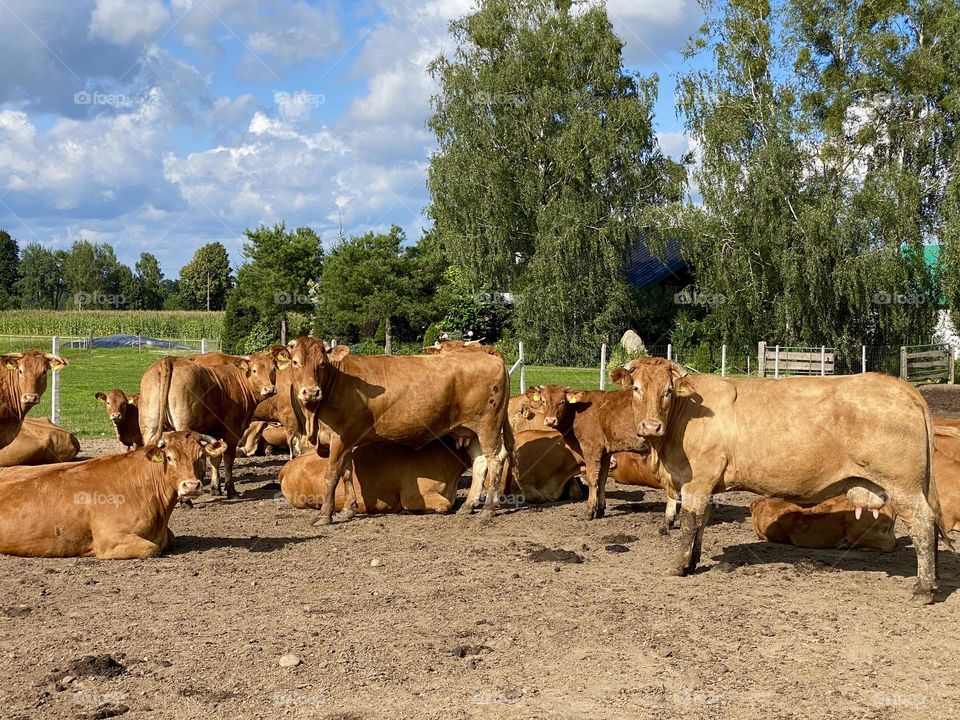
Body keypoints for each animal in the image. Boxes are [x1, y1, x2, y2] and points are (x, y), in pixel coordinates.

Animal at [137, 349, 286, 497]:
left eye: (273, 369)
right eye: (254, 370)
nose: (269, 389)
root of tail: (169, 360)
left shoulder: (215, 432)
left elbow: (215, 458)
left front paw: (215, 488)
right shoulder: (232, 430)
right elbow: (228, 459)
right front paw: (230, 489)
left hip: (149, 425)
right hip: (183, 426)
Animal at [520, 384, 651, 520]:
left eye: (562, 402)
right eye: (543, 400)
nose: (551, 421)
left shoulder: (591, 448)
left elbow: (592, 479)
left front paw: (590, 511)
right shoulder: (606, 454)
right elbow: (602, 480)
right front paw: (600, 509)